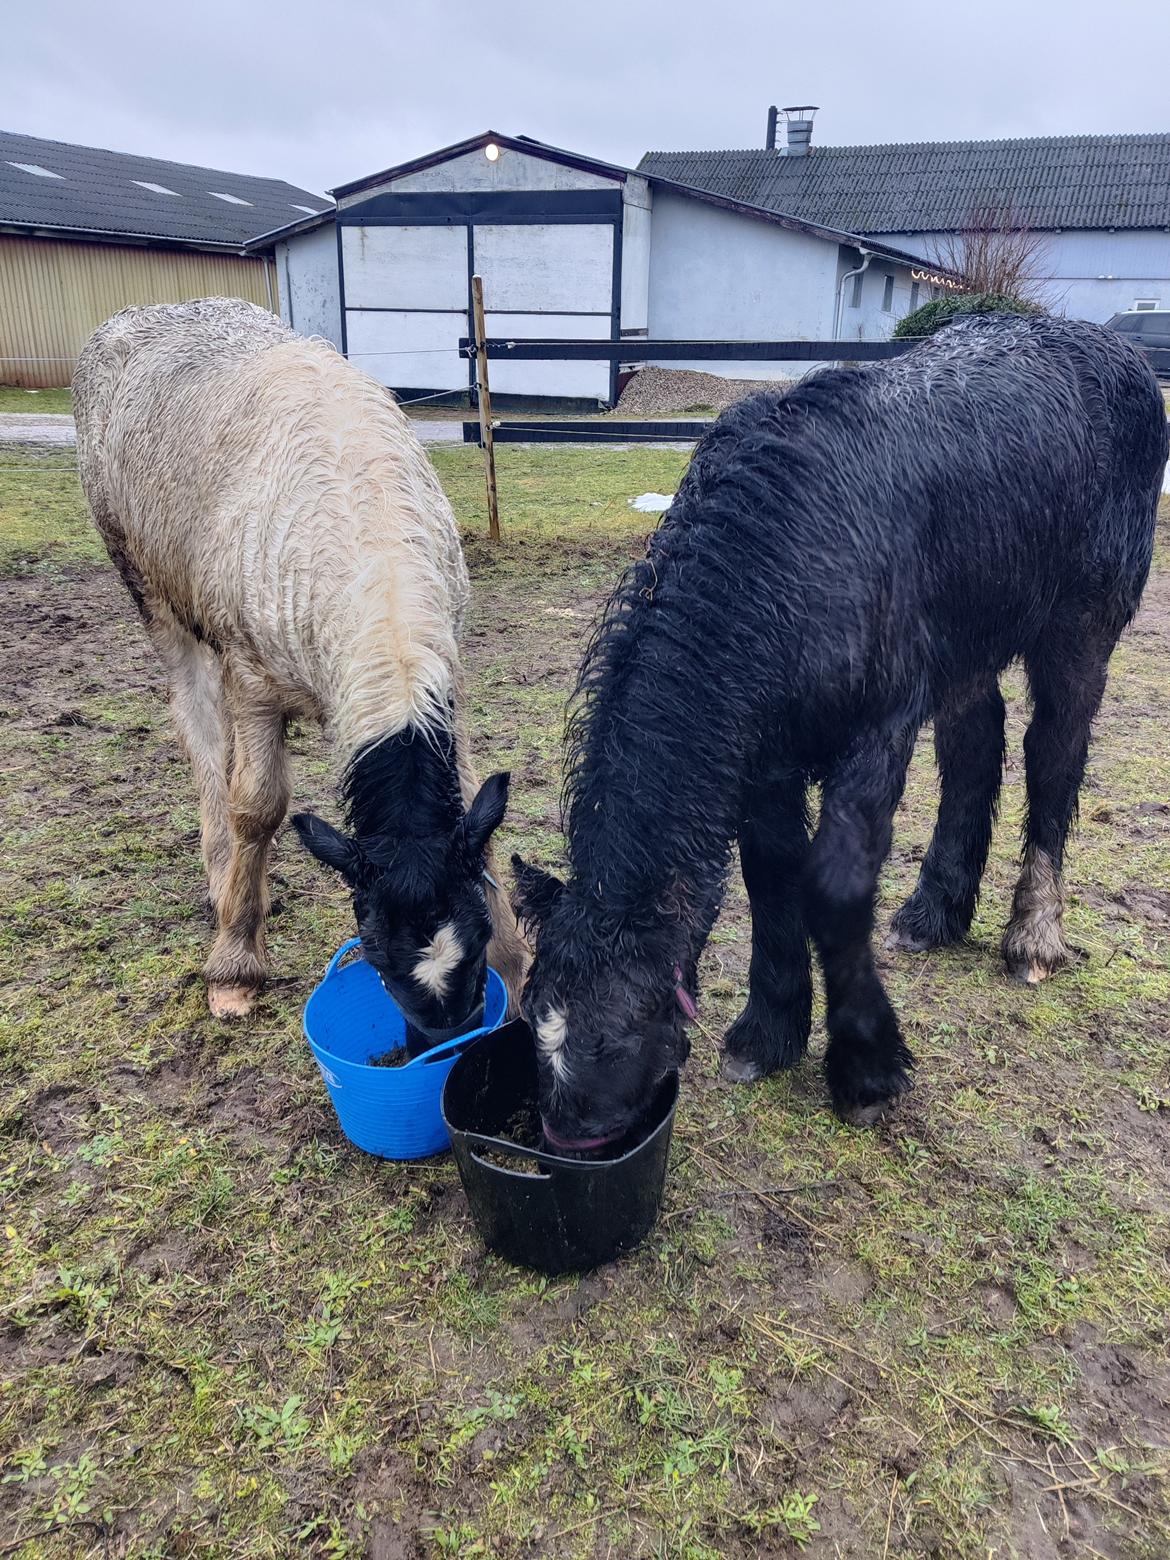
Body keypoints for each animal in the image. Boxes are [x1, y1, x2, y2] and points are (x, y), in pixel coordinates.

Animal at [514, 316, 1170, 1148]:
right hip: (964, 645)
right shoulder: (765, 760)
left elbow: (832, 887)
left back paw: (1033, 936)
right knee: (976, 744)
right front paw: (769, 1031)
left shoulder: (874, 739)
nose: (568, 1134)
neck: (786, 562)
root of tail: (1113, 350)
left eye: (617, 1036)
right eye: (534, 1015)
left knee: (1054, 754)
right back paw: (934, 912)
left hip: (1080, 629)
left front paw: (866, 1069)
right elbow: (770, 875)